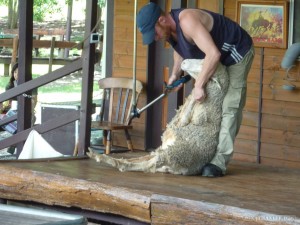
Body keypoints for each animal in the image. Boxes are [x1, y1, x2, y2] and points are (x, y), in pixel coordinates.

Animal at [88, 59, 229, 176]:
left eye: (204, 64)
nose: (183, 61)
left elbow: (187, 112)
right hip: (162, 152)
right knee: (142, 161)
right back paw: (101, 156)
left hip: (171, 154)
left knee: (144, 165)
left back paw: (104, 159)